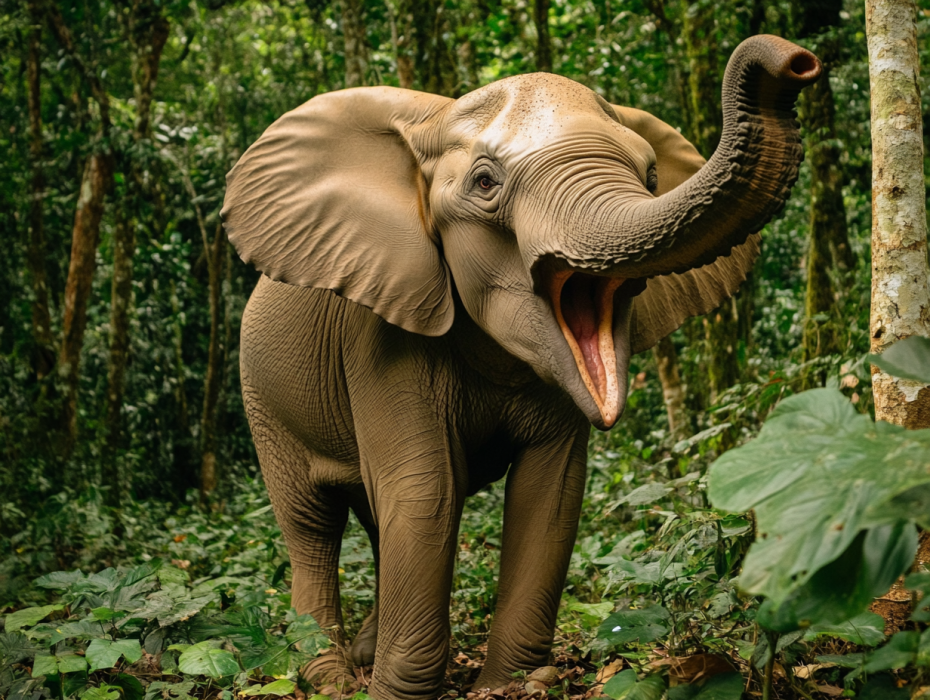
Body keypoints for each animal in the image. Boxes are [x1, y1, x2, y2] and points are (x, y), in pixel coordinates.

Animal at [221, 34, 819, 700]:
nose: (796, 61)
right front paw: (397, 692)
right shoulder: (375, 339)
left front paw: (515, 682)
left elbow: (549, 492)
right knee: (311, 522)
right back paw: (325, 675)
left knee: (374, 518)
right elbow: (426, 491)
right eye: (485, 182)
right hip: (261, 399)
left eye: (650, 175)